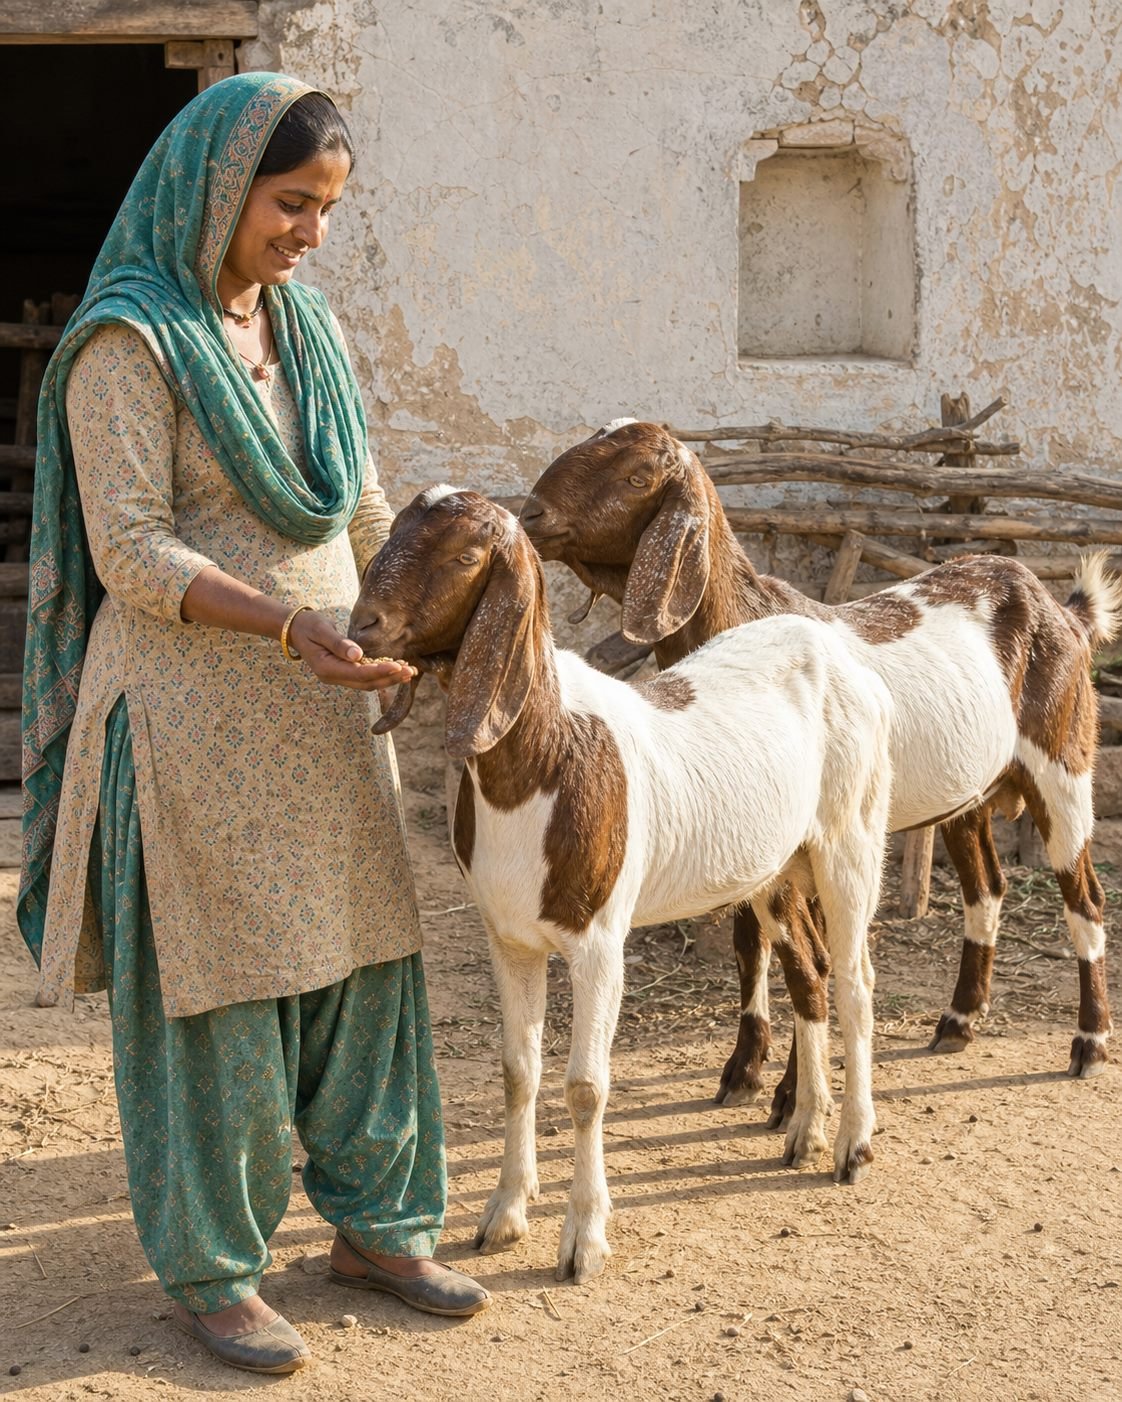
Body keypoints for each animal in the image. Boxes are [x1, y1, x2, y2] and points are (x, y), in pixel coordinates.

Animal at [349, 487, 893, 1282]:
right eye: (391, 533)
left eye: (465, 555)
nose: (362, 626)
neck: (544, 757)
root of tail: (833, 644)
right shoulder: (507, 938)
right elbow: (517, 1070)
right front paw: (504, 1215)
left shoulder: (599, 941)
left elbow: (586, 1087)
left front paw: (582, 1239)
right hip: (776, 862)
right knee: (810, 972)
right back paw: (805, 1131)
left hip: (851, 834)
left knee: (855, 979)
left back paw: (854, 1144)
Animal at [520, 419, 1119, 1112]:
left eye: (637, 476)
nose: (530, 514)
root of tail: (1063, 610)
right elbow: (751, 947)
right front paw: (744, 1069)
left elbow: (814, 959)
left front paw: (792, 1093)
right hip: (967, 793)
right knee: (986, 888)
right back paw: (959, 1020)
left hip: (1063, 763)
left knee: (1085, 896)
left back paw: (1090, 1042)